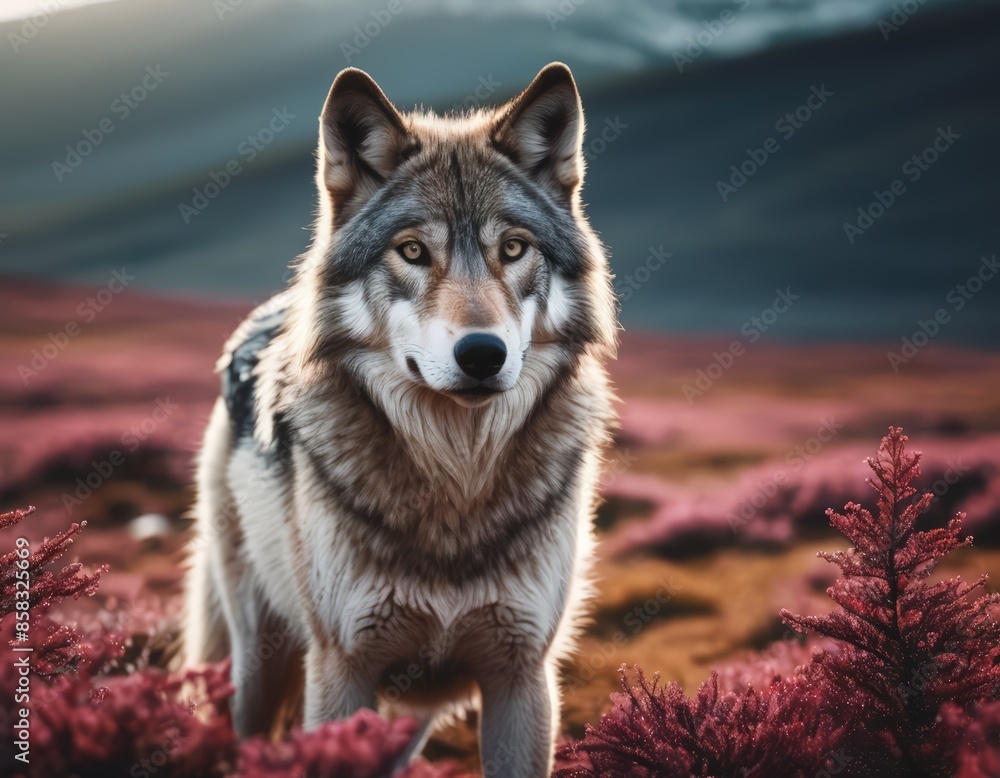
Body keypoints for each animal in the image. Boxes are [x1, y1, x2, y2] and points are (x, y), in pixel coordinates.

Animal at [182, 62, 618, 776]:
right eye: (412, 251)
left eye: (513, 248)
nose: (482, 354)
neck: (456, 478)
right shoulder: (342, 669)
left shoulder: (520, 678)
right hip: (258, 664)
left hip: (415, 710)